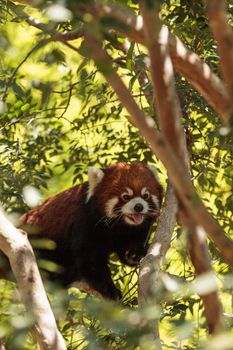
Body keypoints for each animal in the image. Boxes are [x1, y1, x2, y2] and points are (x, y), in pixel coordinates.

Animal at [20, 163, 163, 300]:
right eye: (126, 197)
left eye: (146, 195)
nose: (139, 207)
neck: (119, 225)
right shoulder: (86, 221)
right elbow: (91, 258)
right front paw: (109, 290)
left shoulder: (133, 230)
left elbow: (131, 245)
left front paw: (134, 254)